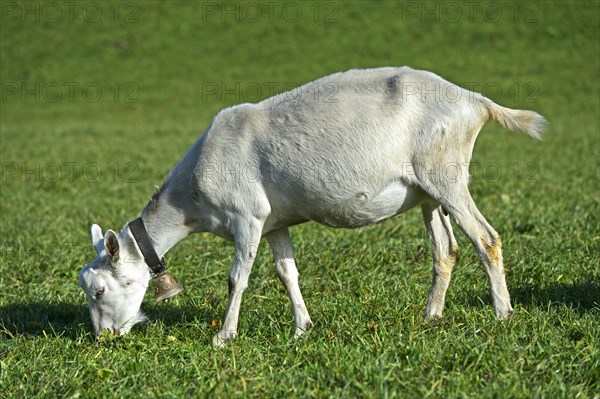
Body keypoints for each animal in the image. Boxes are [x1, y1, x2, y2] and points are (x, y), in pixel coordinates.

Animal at [78, 67, 544, 346]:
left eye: (99, 290)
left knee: (487, 238)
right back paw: (431, 316)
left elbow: (236, 278)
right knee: (446, 249)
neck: (189, 197)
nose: (103, 338)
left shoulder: (247, 216)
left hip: (446, 172)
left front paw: (223, 336)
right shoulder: (273, 223)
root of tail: (475, 102)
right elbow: (287, 272)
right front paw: (303, 328)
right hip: (428, 190)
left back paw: (502, 314)